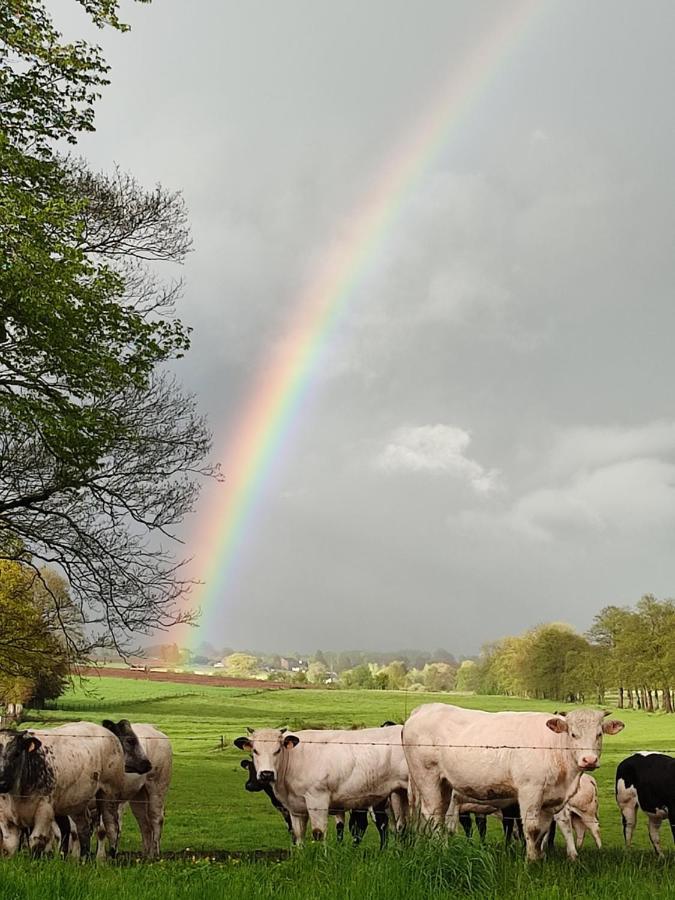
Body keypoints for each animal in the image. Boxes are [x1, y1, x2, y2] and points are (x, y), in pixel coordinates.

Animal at [235, 724, 410, 844]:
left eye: (278, 750)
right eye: (255, 751)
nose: (266, 773)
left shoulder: (317, 800)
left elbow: (318, 833)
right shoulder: (295, 808)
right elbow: (298, 836)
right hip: (399, 794)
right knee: (401, 826)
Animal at [402, 708, 624, 860]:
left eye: (599, 734)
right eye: (573, 734)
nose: (589, 760)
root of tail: (424, 708)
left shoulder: (550, 801)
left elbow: (542, 830)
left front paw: (539, 857)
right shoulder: (529, 792)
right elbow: (532, 829)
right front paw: (531, 862)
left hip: (445, 784)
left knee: (439, 815)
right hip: (427, 776)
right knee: (432, 814)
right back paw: (440, 850)